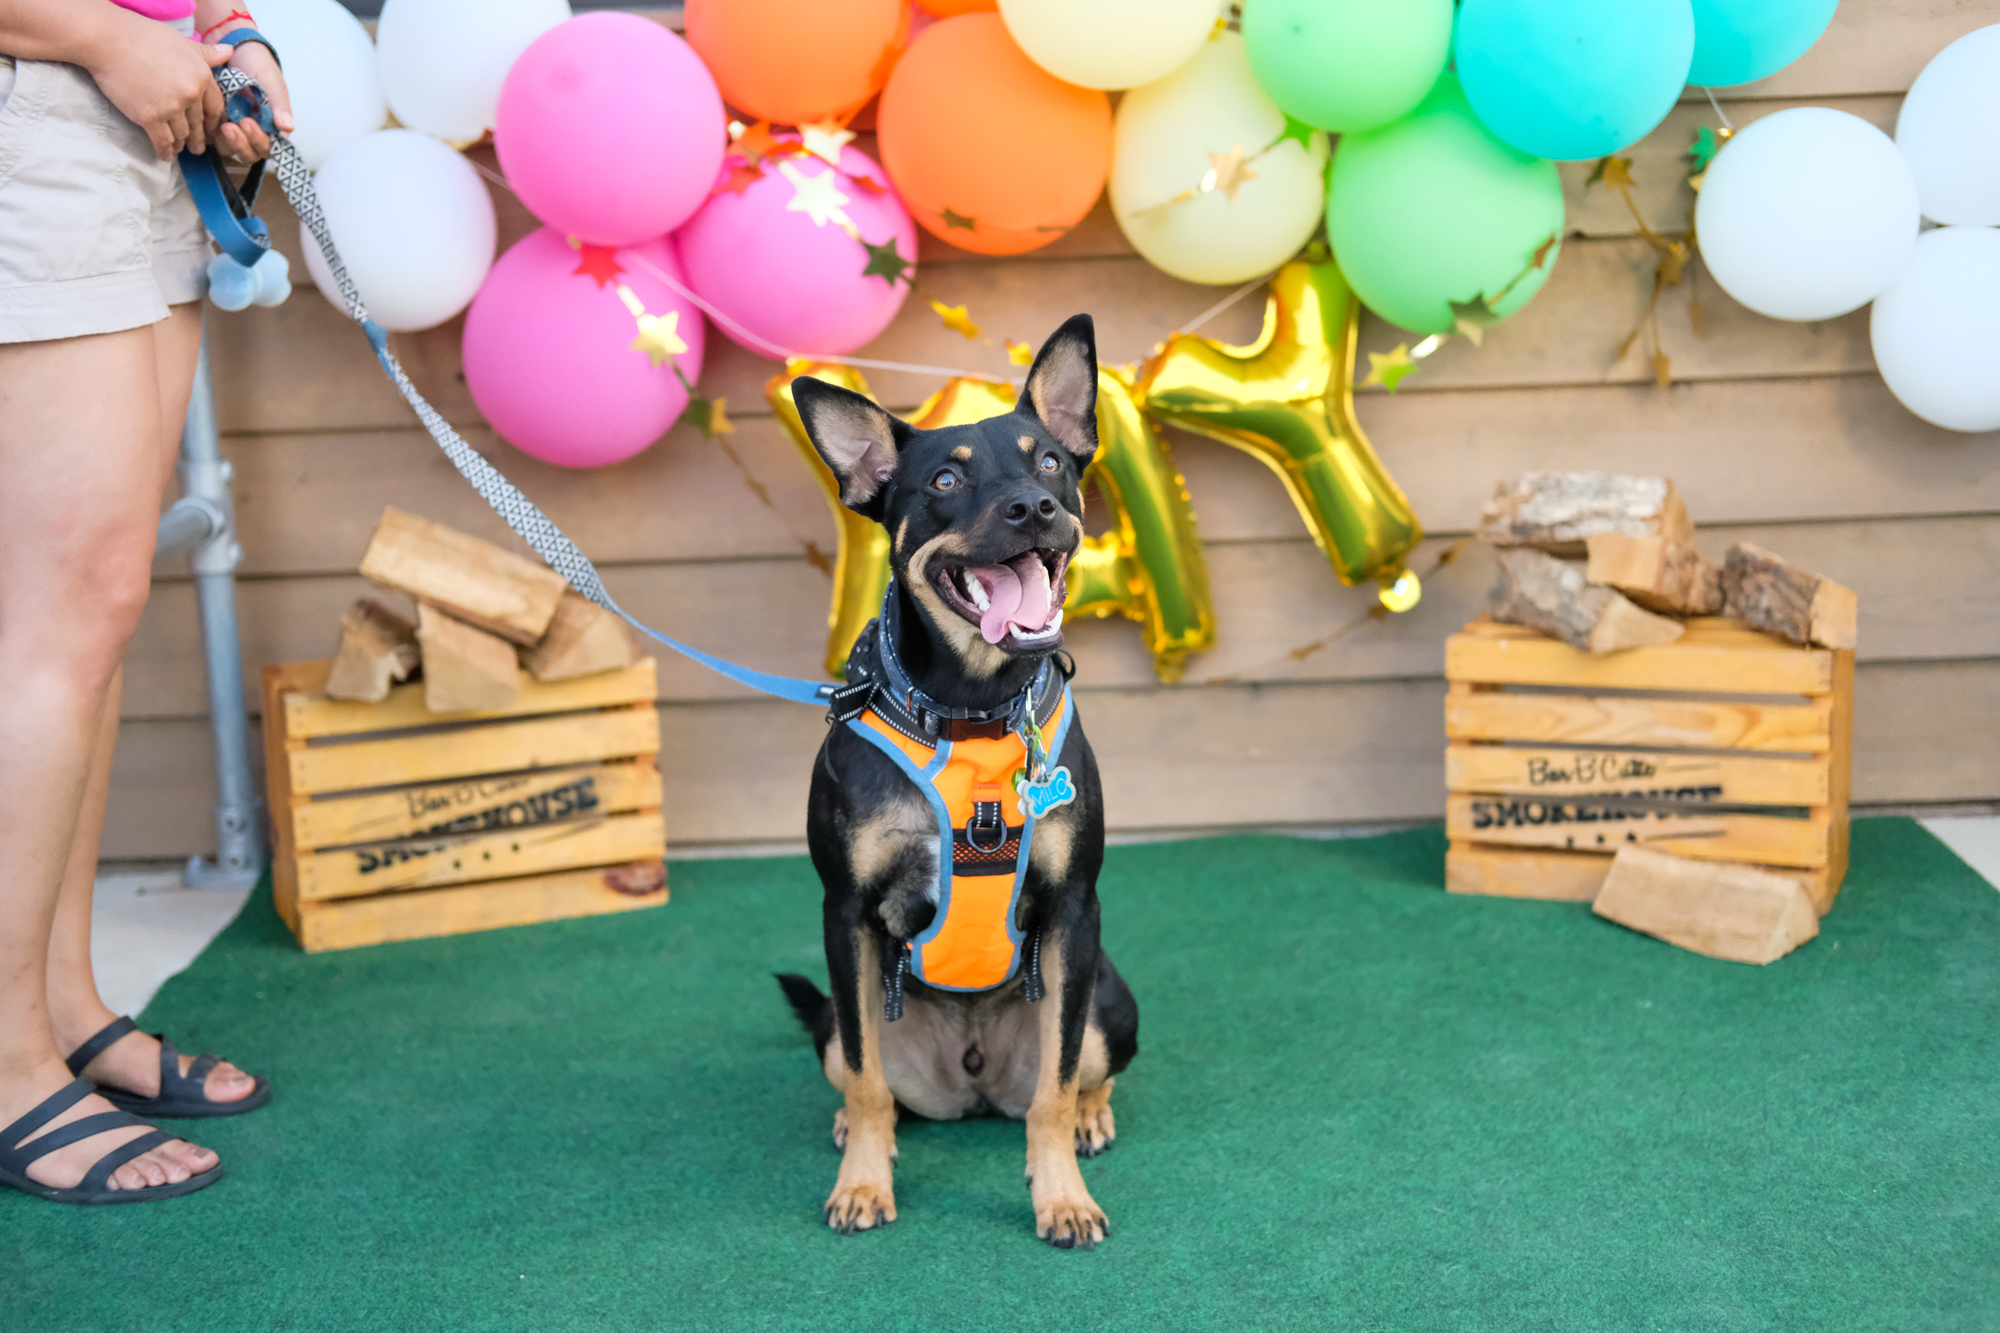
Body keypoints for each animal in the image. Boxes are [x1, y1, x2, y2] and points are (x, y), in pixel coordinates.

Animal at [768, 314, 1136, 1248]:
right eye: (943, 479)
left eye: (1051, 462)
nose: (1034, 506)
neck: (971, 706)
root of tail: (972, 1082)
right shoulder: (846, 915)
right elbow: (869, 1084)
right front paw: (863, 1184)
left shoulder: (1076, 910)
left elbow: (1052, 1088)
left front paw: (1061, 1194)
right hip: (840, 1018)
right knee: (862, 1072)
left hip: (1109, 996)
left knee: (1081, 1066)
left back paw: (1093, 1114)